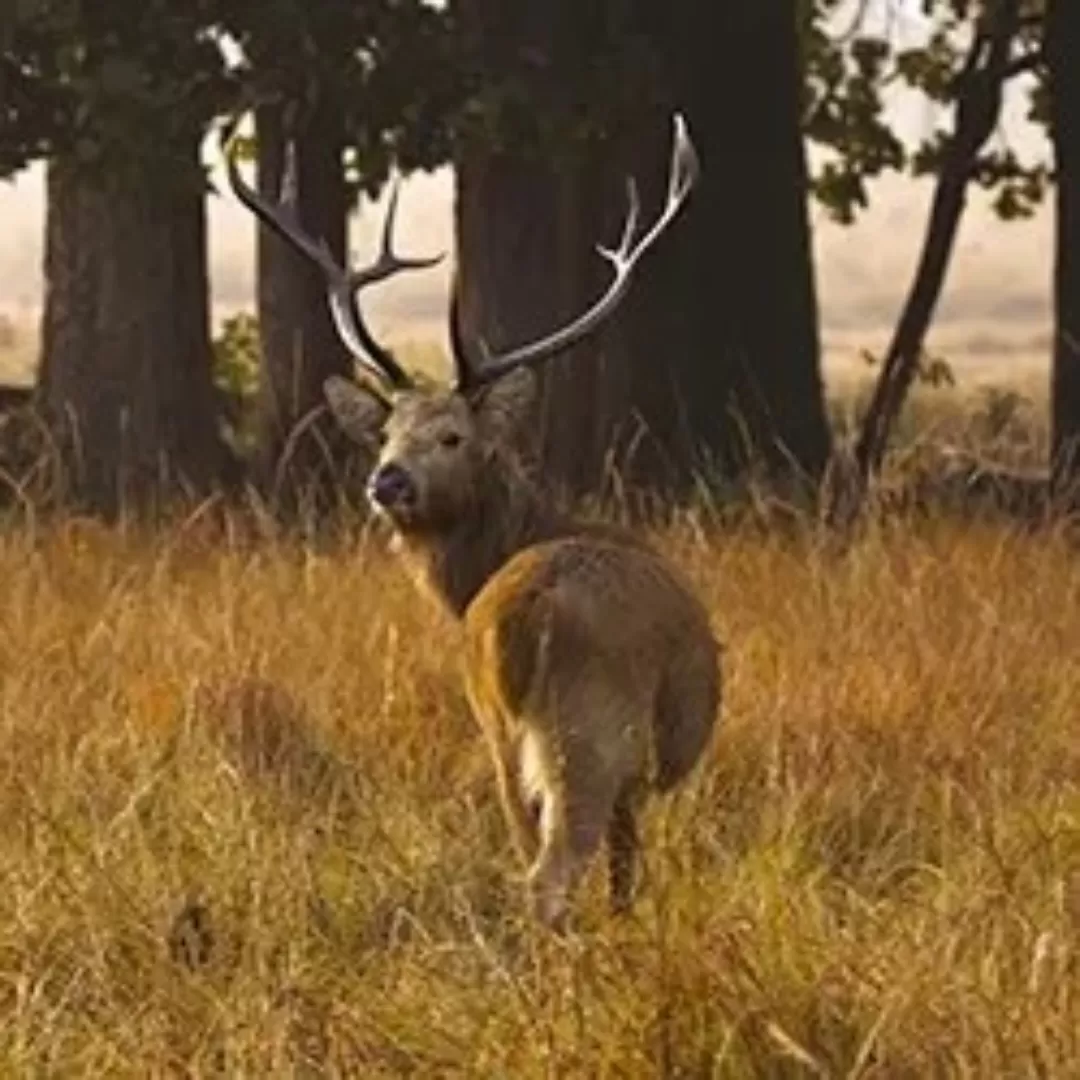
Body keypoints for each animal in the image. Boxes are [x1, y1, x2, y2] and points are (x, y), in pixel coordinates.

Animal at [220, 113, 721, 933]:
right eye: (388, 434)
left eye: (451, 436)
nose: (386, 480)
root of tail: (524, 616)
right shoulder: (635, 774)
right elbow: (625, 873)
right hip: (591, 733)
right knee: (550, 873)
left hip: (502, 735)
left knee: (527, 854)